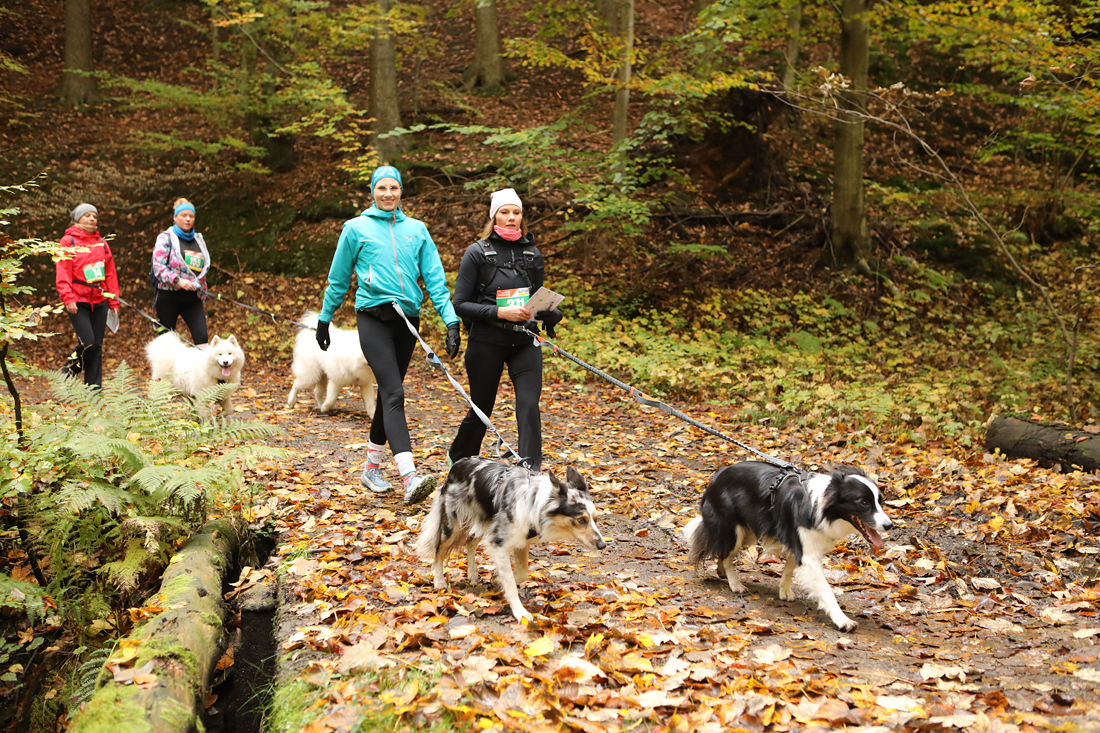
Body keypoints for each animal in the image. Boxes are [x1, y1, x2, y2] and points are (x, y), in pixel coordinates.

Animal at [415, 457, 607, 622]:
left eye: (595, 519)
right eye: (581, 520)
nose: (602, 545)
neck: (535, 502)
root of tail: (458, 464)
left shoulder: (521, 540)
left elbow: (521, 574)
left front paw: (496, 578)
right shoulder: (498, 542)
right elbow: (511, 583)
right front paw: (520, 611)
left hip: (484, 522)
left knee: (470, 544)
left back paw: (473, 574)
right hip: (452, 526)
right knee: (439, 550)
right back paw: (439, 581)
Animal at [683, 461, 892, 631]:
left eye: (880, 502)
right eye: (863, 503)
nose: (889, 525)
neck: (823, 506)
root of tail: (717, 477)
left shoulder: (798, 543)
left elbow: (789, 568)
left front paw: (784, 591)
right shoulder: (808, 553)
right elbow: (826, 590)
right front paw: (842, 620)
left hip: (749, 531)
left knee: (724, 551)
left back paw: (721, 572)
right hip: (734, 529)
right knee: (727, 554)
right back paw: (735, 584)